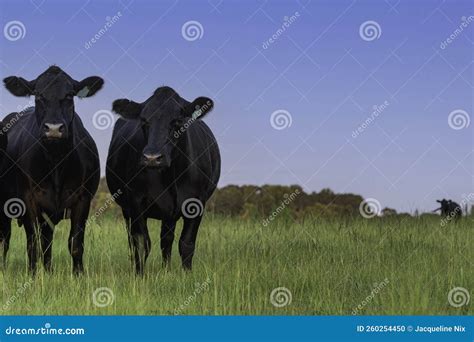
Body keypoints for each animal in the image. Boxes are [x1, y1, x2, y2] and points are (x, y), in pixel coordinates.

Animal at [1, 66, 102, 276]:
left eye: (70, 95)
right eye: (38, 95)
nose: (54, 129)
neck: (56, 163)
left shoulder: (83, 199)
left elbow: (75, 243)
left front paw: (78, 275)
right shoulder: (27, 199)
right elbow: (32, 242)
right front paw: (32, 276)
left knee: (47, 241)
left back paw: (48, 270)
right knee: (6, 238)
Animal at [105, 86, 220, 276]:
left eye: (178, 121)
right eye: (144, 121)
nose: (152, 158)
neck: (170, 176)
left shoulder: (196, 202)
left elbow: (186, 243)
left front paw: (187, 275)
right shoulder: (136, 202)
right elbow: (141, 243)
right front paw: (139, 276)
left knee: (167, 239)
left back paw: (166, 269)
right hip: (126, 209)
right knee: (133, 240)